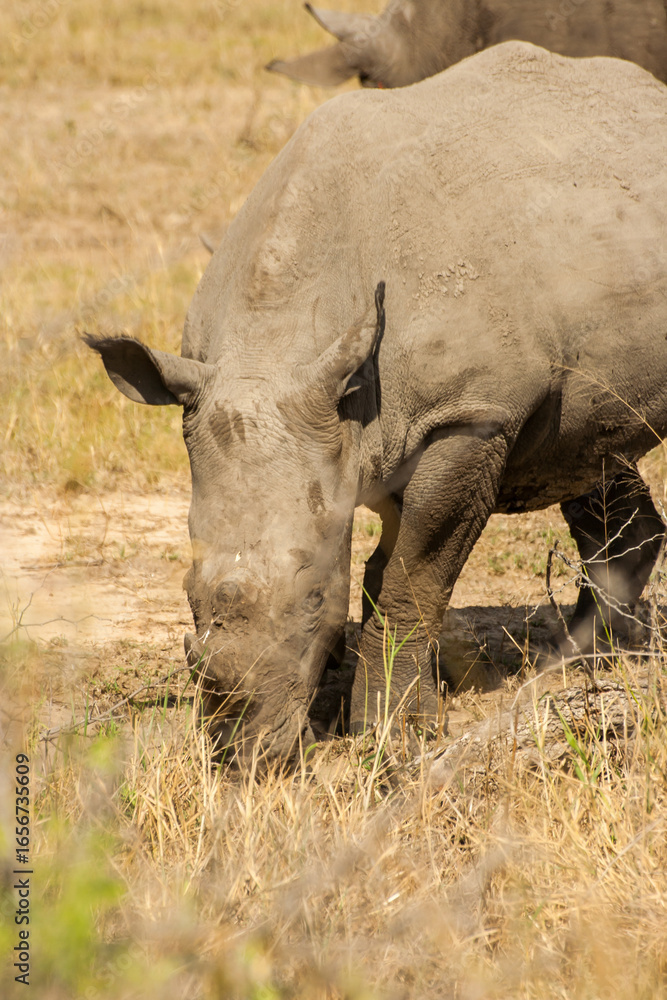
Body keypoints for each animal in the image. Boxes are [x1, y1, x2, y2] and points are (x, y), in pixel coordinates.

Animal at [88, 42, 667, 761]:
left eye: (314, 598)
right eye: (189, 595)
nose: (247, 753)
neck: (273, 343)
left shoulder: (468, 415)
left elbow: (410, 577)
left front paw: (390, 731)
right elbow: (382, 569)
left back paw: (574, 667)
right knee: (591, 448)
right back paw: (576, 663)